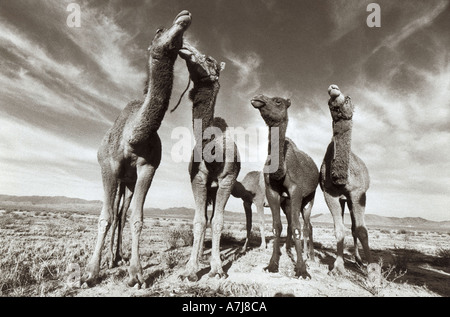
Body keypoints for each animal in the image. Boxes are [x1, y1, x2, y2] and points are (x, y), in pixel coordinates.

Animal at [84, 10, 192, 286]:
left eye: (182, 41)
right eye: (158, 30)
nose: (184, 16)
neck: (134, 136)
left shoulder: (147, 168)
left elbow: (136, 218)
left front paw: (136, 273)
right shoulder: (109, 168)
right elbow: (104, 217)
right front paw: (90, 273)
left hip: (129, 182)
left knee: (122, 214)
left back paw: (117, 258)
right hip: (117, 177)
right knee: (114, 213)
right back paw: (109, 260)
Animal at [176, 40, 241, 280]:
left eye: (210, 59)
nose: (185, 48)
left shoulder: (228, 179)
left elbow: (218, 221)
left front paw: (217, 269)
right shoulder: (198, 178)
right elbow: (199, 221)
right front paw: (190, 270)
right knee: (204, 218)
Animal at [250, 95, 320, 278]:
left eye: (278, 101)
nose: (257, 98)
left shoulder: (296, 191)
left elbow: (296, 227)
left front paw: (302, 270)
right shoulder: (272, 192)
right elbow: (277, 226)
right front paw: (272, 264)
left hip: (309, 198)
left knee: (307, 225)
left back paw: (310, 257)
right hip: (287, 202)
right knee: (292, 223)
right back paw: (290, 249)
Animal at [320, 84, 372, 274]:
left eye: (349, 99)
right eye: (329, 103)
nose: (333, 89)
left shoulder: (358, 193)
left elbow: (362, 231)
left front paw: (373, 271)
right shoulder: (329, 193)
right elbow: (339, 230)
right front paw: (337, 266)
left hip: (354, 198)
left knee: (356, 228)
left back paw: (359, 260)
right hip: (343, 200)